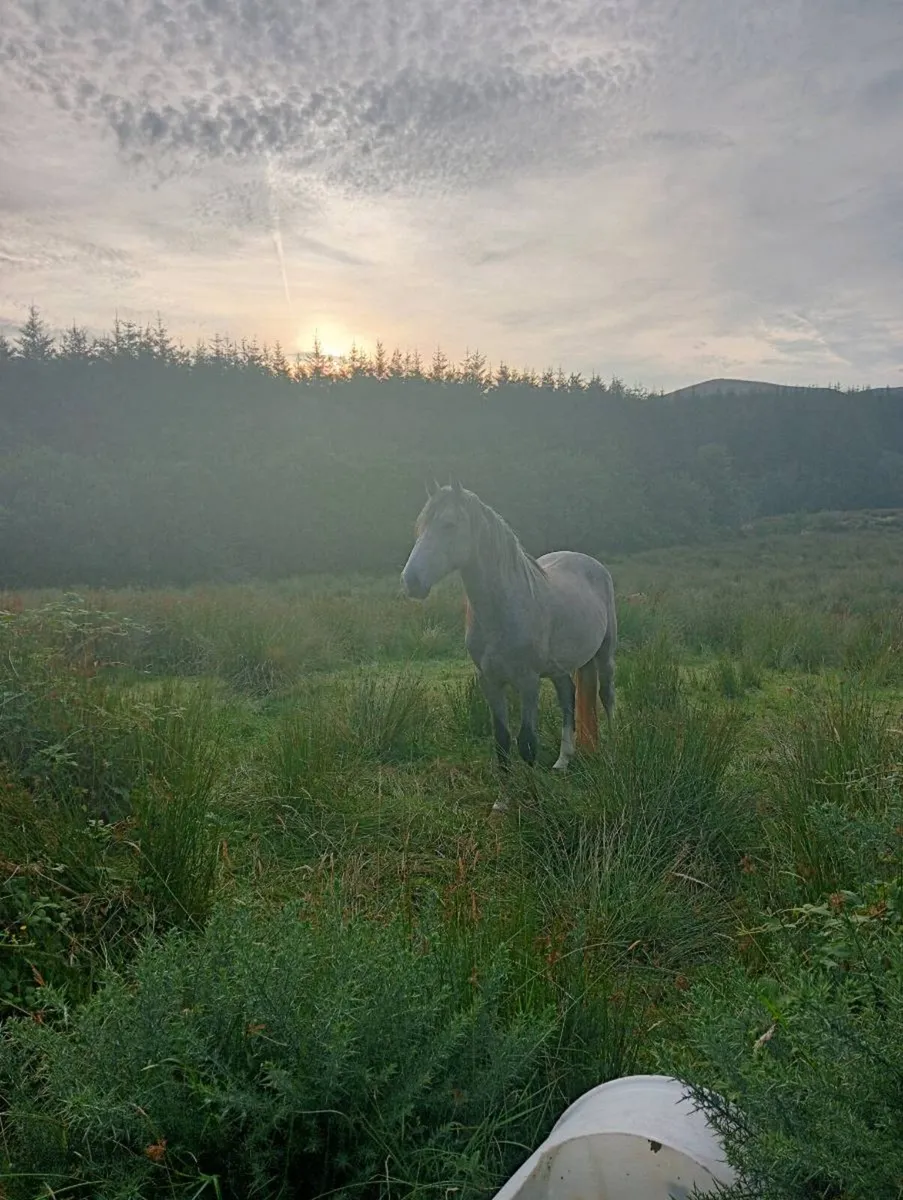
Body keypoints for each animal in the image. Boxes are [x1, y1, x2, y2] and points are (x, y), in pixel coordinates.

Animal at [400, 481, 616, 773]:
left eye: (449, 524)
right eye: (420, 527)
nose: (411, 581)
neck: (502, 611)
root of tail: (591, 563)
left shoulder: (527, 681)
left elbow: (527, 743)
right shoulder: (489, 681)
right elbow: (501, 740)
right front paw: (504, 787)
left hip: (605, 653)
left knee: (606, 695)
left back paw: (612, 750)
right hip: (559, 668)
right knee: (567, 697)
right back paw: (563, 760)